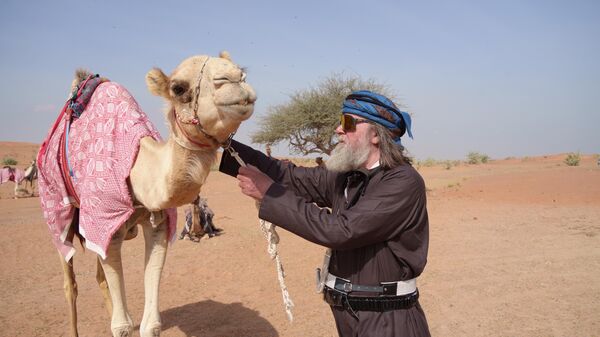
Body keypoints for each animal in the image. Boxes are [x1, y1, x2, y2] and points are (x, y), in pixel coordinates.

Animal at [35, 51, 255, 334]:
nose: (235, 80)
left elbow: (150, 325)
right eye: (178, 88)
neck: (137, 172)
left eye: (241, 70)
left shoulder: (156, 224)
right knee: (69, 283)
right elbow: (121, 325)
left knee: (99, 277)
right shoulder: (105, 221)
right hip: (57, 212)